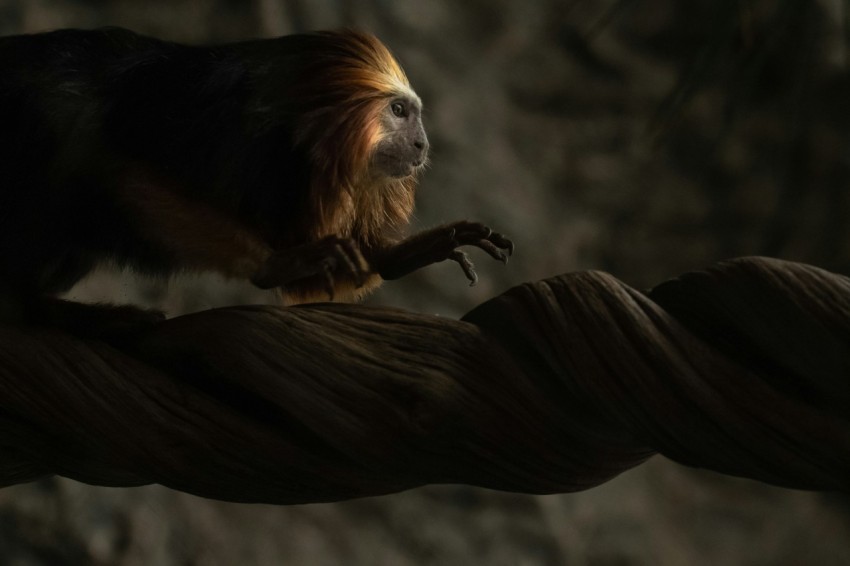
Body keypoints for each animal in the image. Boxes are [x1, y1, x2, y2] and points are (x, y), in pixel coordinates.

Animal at [0, 27, 512, 338]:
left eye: (413, 114)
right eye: (400, 111)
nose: (423, 144)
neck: (293, 139)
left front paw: (410, 252)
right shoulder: (198, 125)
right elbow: (117, 173)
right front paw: (275, 264)